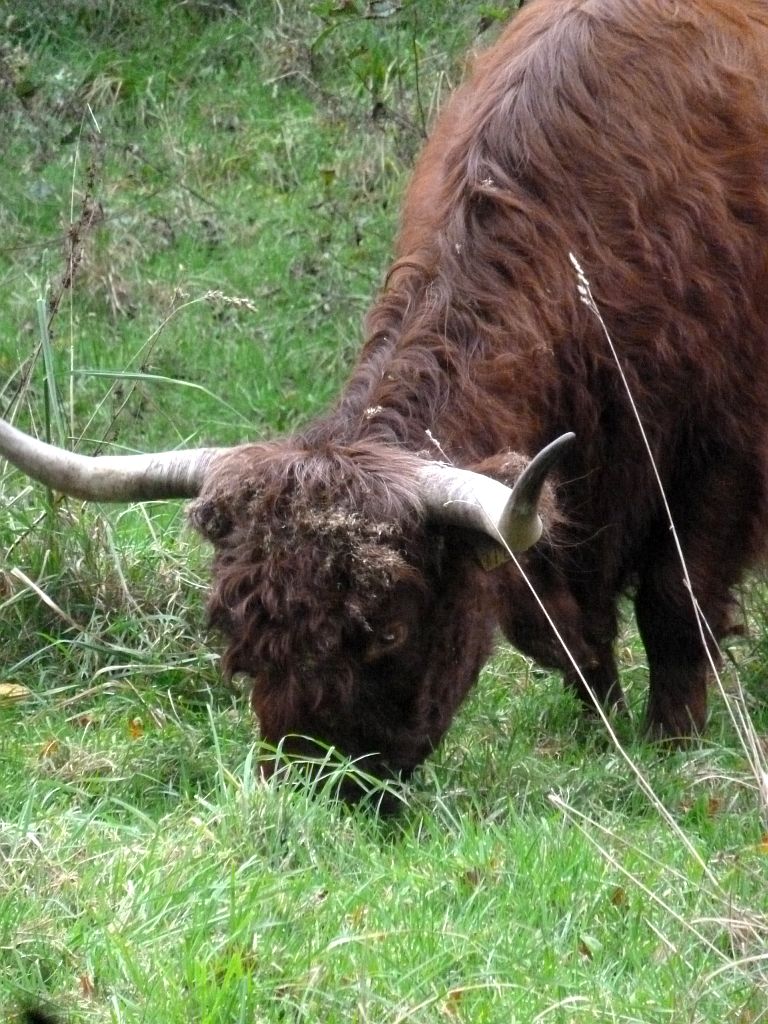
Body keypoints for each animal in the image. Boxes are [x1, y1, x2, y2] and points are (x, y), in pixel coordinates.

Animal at [1, 0, 768, 786]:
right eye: (237, 628)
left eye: (389, 631)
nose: (324, 785)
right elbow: (559, 628)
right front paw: (602, 733)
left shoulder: (725, 453)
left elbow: (675, 602)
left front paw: (672, 743)